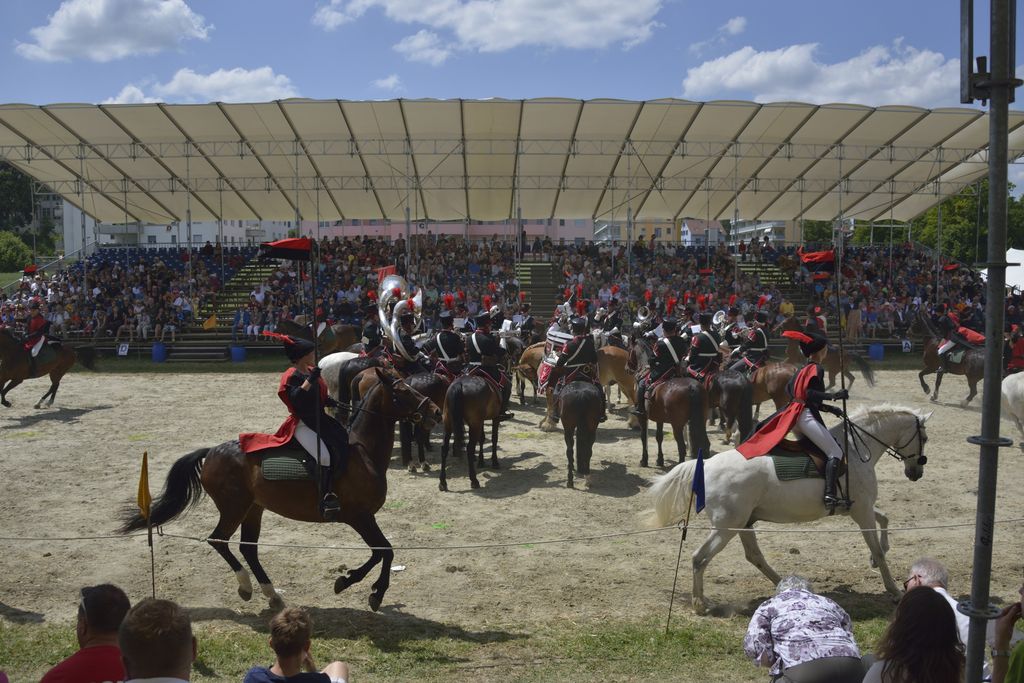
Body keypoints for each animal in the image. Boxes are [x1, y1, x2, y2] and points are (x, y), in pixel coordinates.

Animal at [119, 368, 440, 614]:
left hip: (253, 508)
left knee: (248, 548)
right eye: (404, 390)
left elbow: (381, 552)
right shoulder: (359, 517)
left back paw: (272, 595)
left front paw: (358, 585)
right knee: (218, 540)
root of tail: (211, 452)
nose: (435, 411)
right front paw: (364, 589)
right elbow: (384, 551)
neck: (363, 452)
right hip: (234, 508)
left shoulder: (362, 518)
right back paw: (246, 587)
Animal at [651, 403, 933, 618]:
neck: (855, 449)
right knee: (700, 558)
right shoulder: (861, 510)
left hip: (742, 523)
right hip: (726, 527)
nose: (916, 473)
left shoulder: (857, 508)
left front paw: (877, 559)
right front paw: (894, 590)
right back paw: (700, 604)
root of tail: (706, 464)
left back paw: (786, 587)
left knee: (754, 556)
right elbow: (878, 547)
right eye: (925, 438)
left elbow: (884, 519)